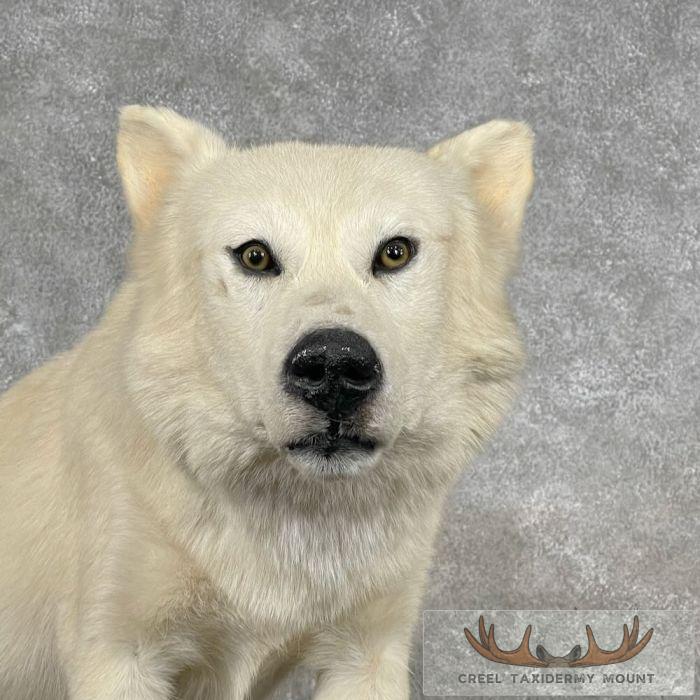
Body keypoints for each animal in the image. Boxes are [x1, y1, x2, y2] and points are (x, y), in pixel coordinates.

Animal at [0, 106, 533, 699]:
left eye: (395, 252)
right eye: (255, 256)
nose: (333, 368)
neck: (292, 520)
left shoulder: (367, 654)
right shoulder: (118, 657)